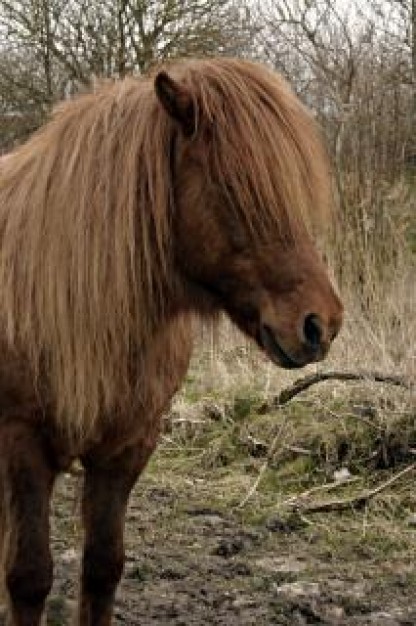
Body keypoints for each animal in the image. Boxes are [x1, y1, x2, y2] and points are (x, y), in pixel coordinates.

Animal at [0, 58, 342, 624]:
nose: (320, 324)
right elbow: (28, 577)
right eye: (234, 185)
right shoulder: (21, 443)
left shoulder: (129, 446)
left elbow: (103, 567)